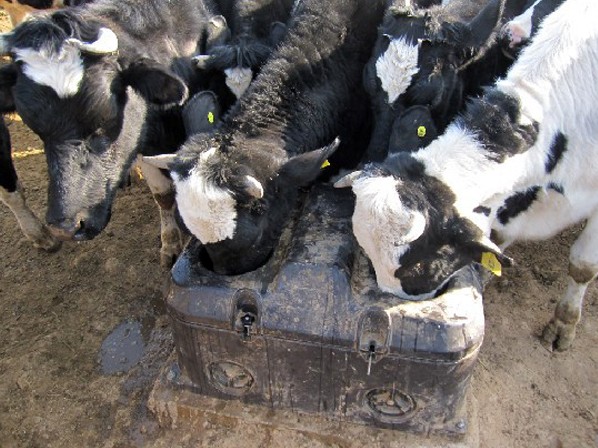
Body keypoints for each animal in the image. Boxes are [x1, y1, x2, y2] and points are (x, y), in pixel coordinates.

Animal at [0, 0, 228, 267]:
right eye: (37, 129)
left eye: (105, 118)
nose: (65, 229)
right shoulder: (144, 145)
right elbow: (162, 195)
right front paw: (170, 244)